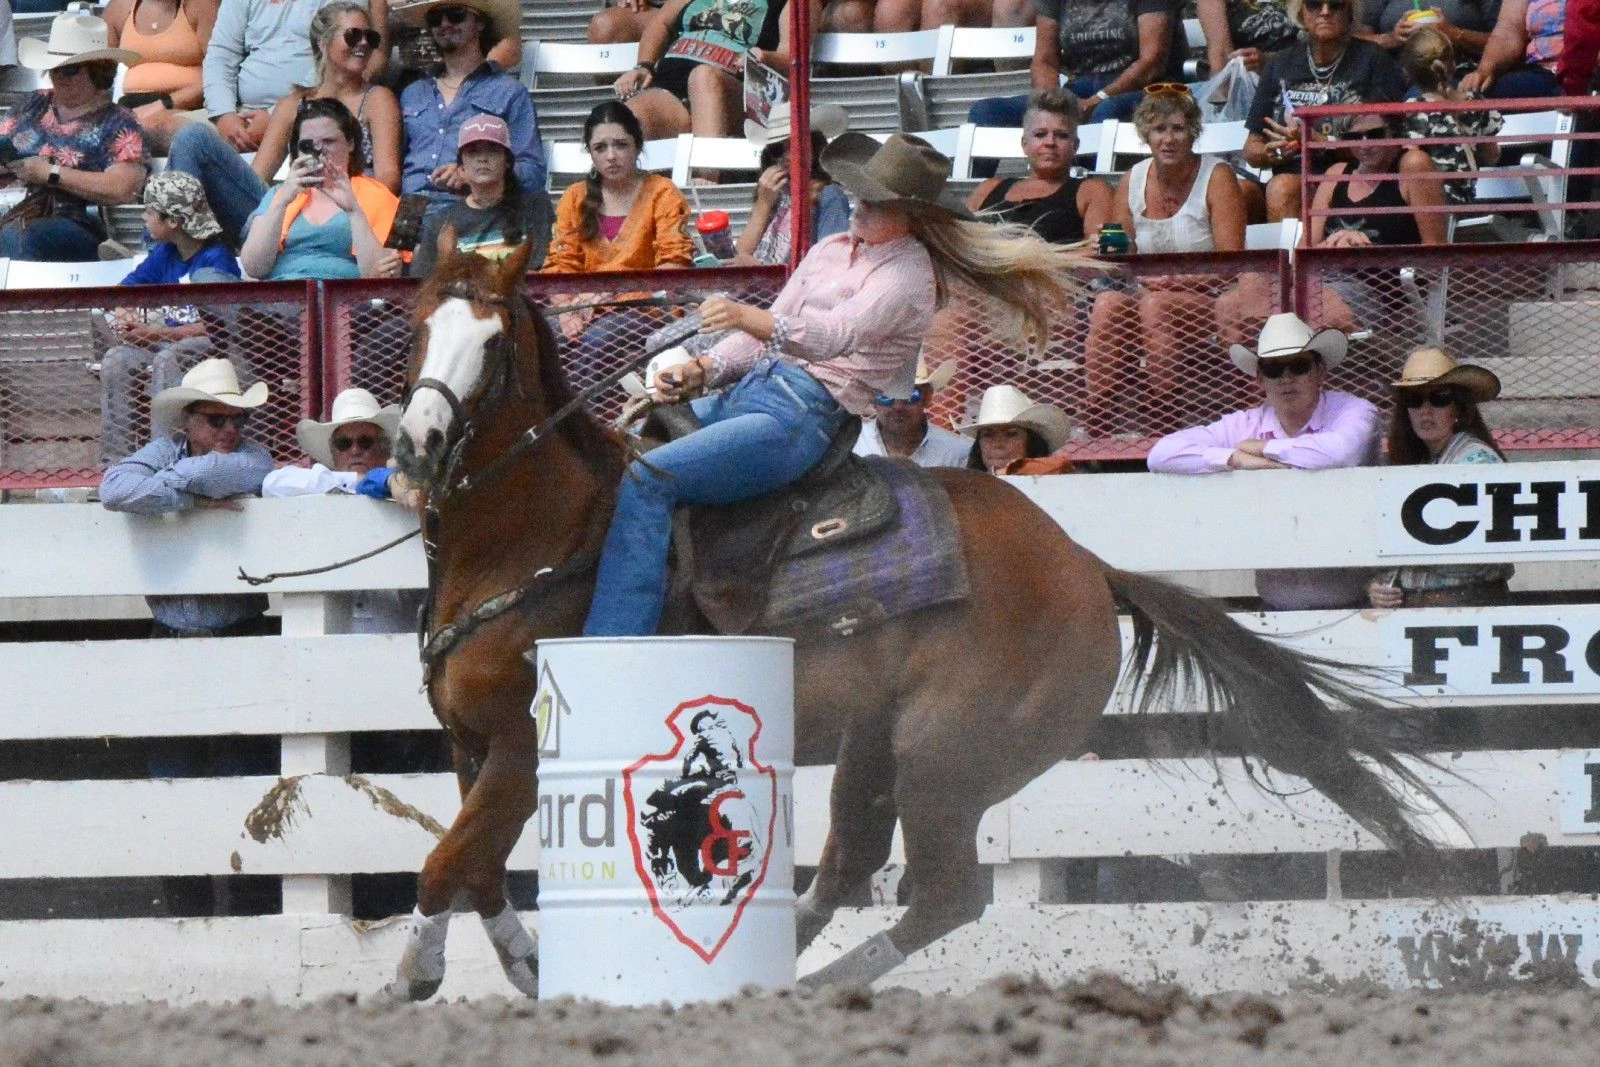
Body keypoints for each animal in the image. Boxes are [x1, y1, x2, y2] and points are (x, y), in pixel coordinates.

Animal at [384, 246, 1452, 998]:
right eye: (418, 328)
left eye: (491, 346)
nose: (420, 444)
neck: (540, 536)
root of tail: (1088, 568)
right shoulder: (469, 746)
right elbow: (479, 870)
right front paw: (525, 968)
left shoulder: (521, 749)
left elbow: (443, 863)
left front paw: (414, 975)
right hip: (876, 745)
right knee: (849, 866)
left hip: (948, 760)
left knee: (944, 894)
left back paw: (812, 986)